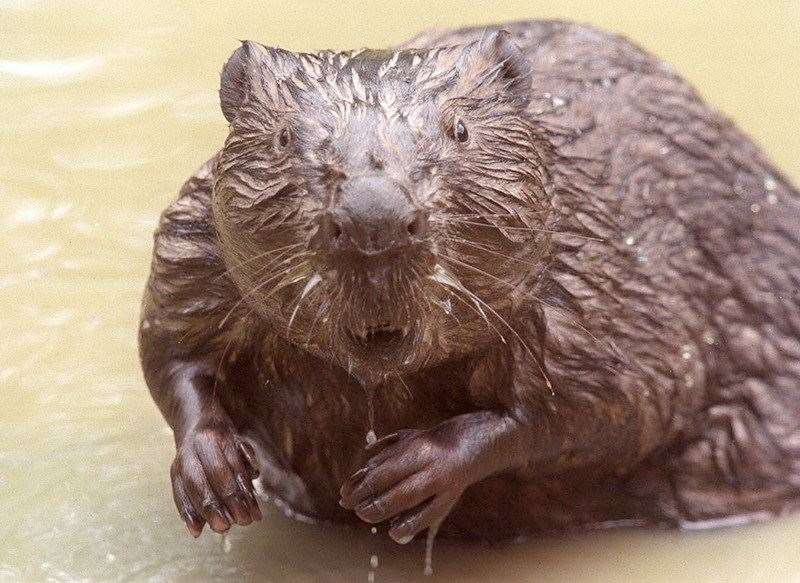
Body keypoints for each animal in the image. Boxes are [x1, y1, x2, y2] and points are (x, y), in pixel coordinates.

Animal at [141, 21, 800, 544]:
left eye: (460, 130)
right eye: (281, 138)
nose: (374, 218)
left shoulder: (607, 271)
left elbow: (623, 399)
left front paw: (406, 476)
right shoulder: (196, 246)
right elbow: (167, 344)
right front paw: (213, 478)